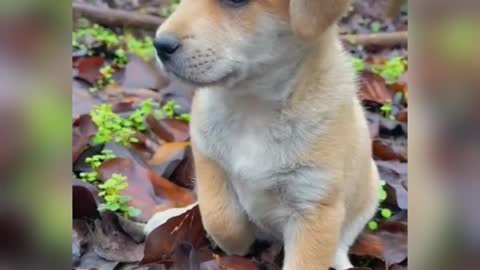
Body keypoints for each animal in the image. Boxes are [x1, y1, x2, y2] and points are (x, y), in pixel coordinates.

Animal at [150, 1, 378, 268]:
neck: (252, 108)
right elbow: (220, 217)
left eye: (236, 2)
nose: (160, 45)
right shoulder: (208, 157)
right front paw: (237, 243)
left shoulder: (315, 207)